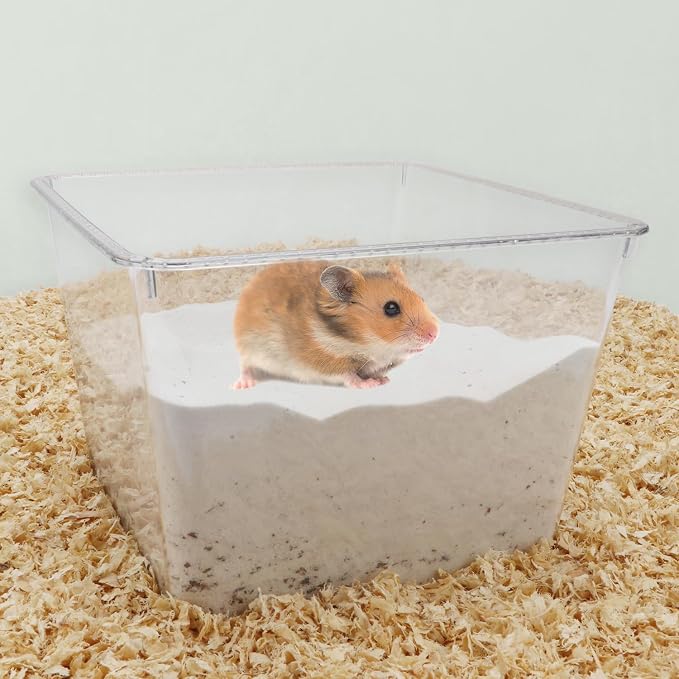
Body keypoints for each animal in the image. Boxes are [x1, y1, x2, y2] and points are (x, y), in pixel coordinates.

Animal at [232, 260, 439, 389]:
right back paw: (242, 385)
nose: (435, 334)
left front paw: (383, 379)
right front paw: (370, 384)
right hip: (250, 347)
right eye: (391, 308)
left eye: (421, 298)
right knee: (244, 366)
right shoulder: (324, 360)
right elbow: (348, 375)